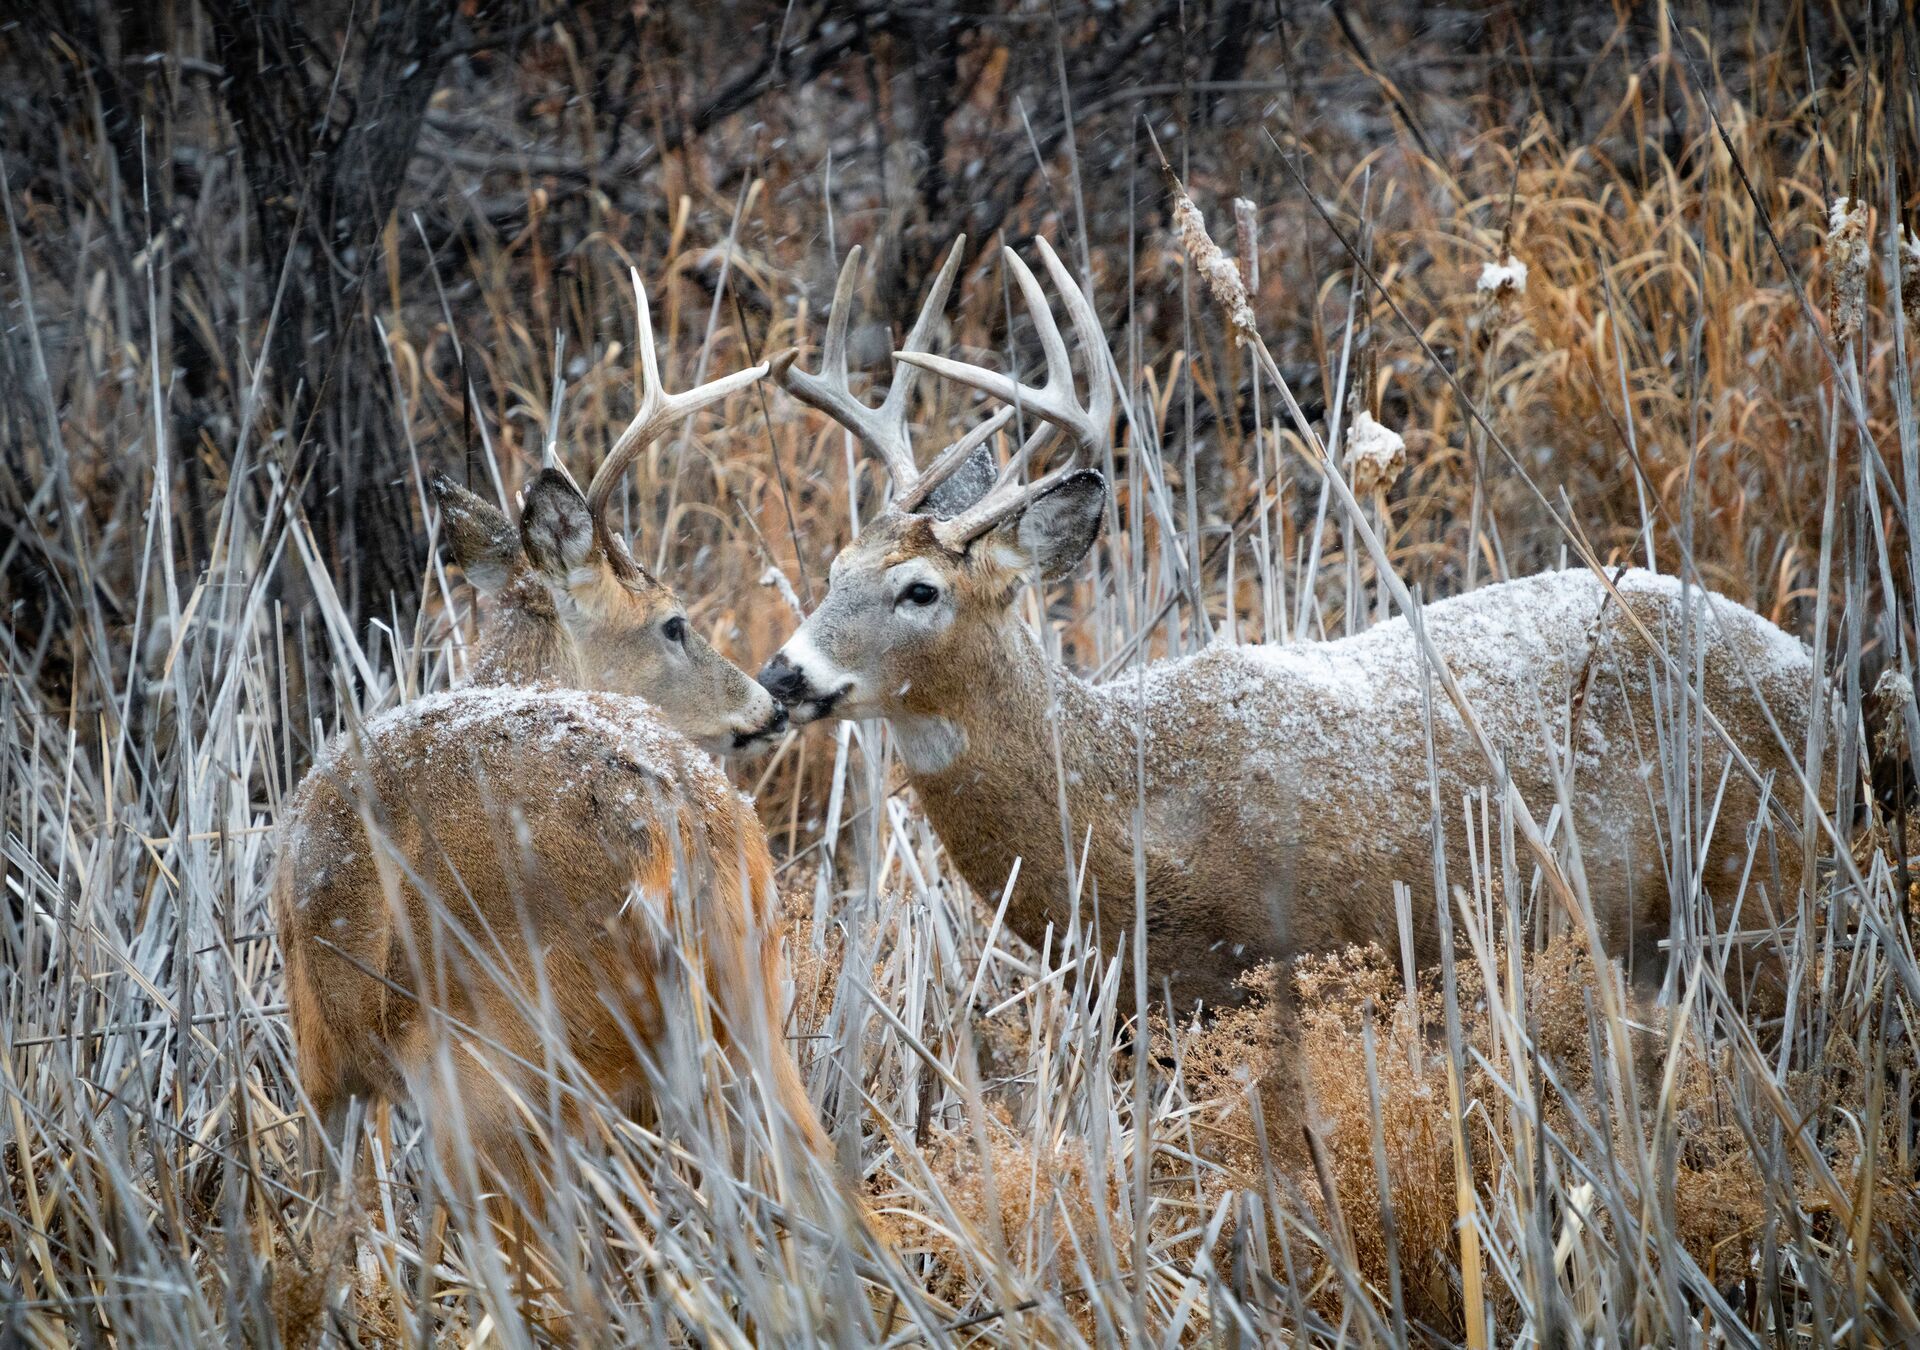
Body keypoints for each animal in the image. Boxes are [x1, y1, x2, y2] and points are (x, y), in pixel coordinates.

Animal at [268, 268, 883, 1259]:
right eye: (673, 623)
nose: (767, 704)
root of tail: (680, 823)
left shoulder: (324, 1051)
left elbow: (327, 1232)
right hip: (750, 1000)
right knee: (819, 1181)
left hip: (508, 1062)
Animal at [756, 235, 1820, 1013]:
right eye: (833, 569)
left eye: (919, 591)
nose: (781, 675)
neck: (1132, 814)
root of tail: (1811, 667)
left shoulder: (1322, 958)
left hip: (1756, 888)